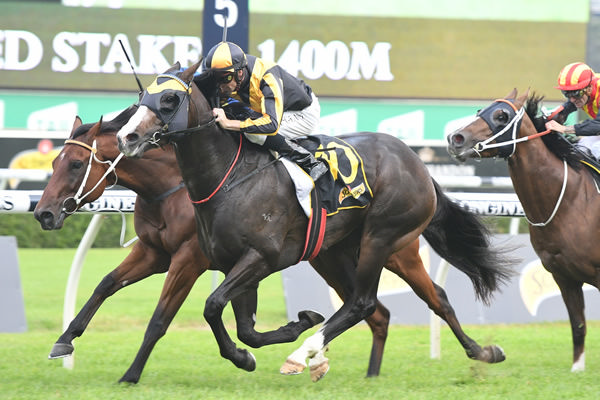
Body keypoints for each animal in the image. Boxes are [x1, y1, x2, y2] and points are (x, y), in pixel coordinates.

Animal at [34, 108, 510, 382]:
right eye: (54, 160)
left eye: (74, 163)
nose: (43, 213)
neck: (175, 184)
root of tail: (418, 164)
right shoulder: (155, 252)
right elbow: (104, 286)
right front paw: (65, 340)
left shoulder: (192, 258)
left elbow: (165, 317)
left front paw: (131, 374)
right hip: (333, 254)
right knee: (380, 308)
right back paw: (359, 369)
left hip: (389, 244)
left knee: (418, 300)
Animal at [448, 88, 600, 372]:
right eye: (480, 111)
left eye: (501, 116)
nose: (456, 138)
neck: (570, 202)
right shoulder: (563, 275)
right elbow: (578, 325)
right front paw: (577, 368)